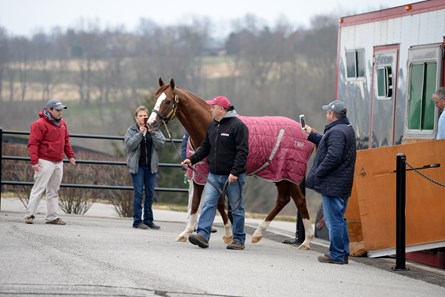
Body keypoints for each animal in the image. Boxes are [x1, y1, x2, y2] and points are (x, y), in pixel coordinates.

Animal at [147, 77, 314, 249]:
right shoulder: (199, 173)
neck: (211, 124)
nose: (150, 123)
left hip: (289, 174)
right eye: (155, 97)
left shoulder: (214, 174)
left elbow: (218, 203)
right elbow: (197, 203)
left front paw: (227, 234)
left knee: (299, 200)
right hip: (280, 176)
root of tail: (305, 134)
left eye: (167, 101)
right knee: (284, 199)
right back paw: (258, 234)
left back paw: (306, 241)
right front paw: (187, 233)